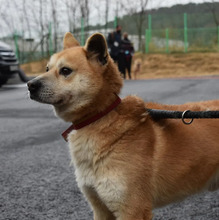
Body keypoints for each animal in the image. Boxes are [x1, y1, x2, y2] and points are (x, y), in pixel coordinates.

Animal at [27, 32, 219, 220]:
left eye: (65, 70)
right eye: (47, 69)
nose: (30, 85)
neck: (100, 117)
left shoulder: (132, 209)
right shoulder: (101, 208)